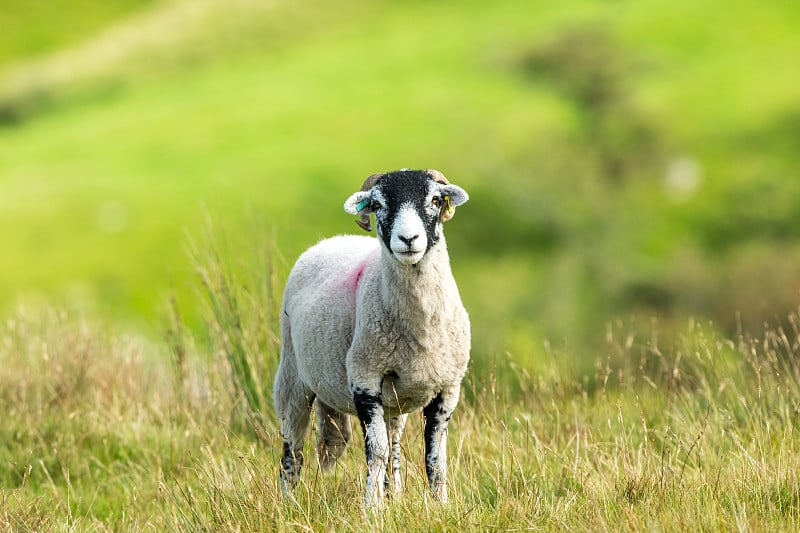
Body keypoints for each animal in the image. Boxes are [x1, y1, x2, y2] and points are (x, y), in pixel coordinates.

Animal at [272, 167, 472, 508]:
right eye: (377, 205)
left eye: (435, 199)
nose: (408, 239)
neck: (420, 330)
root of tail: (334, 240)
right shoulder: (364, 379)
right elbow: (375, 453)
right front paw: (372, 508)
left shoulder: (448, 388)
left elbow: (435, 457)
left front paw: (441, 506)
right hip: (293, 377)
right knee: (293, 449)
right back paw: (288, 504)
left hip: (394, 402)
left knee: (395, 447)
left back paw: (395, 495)